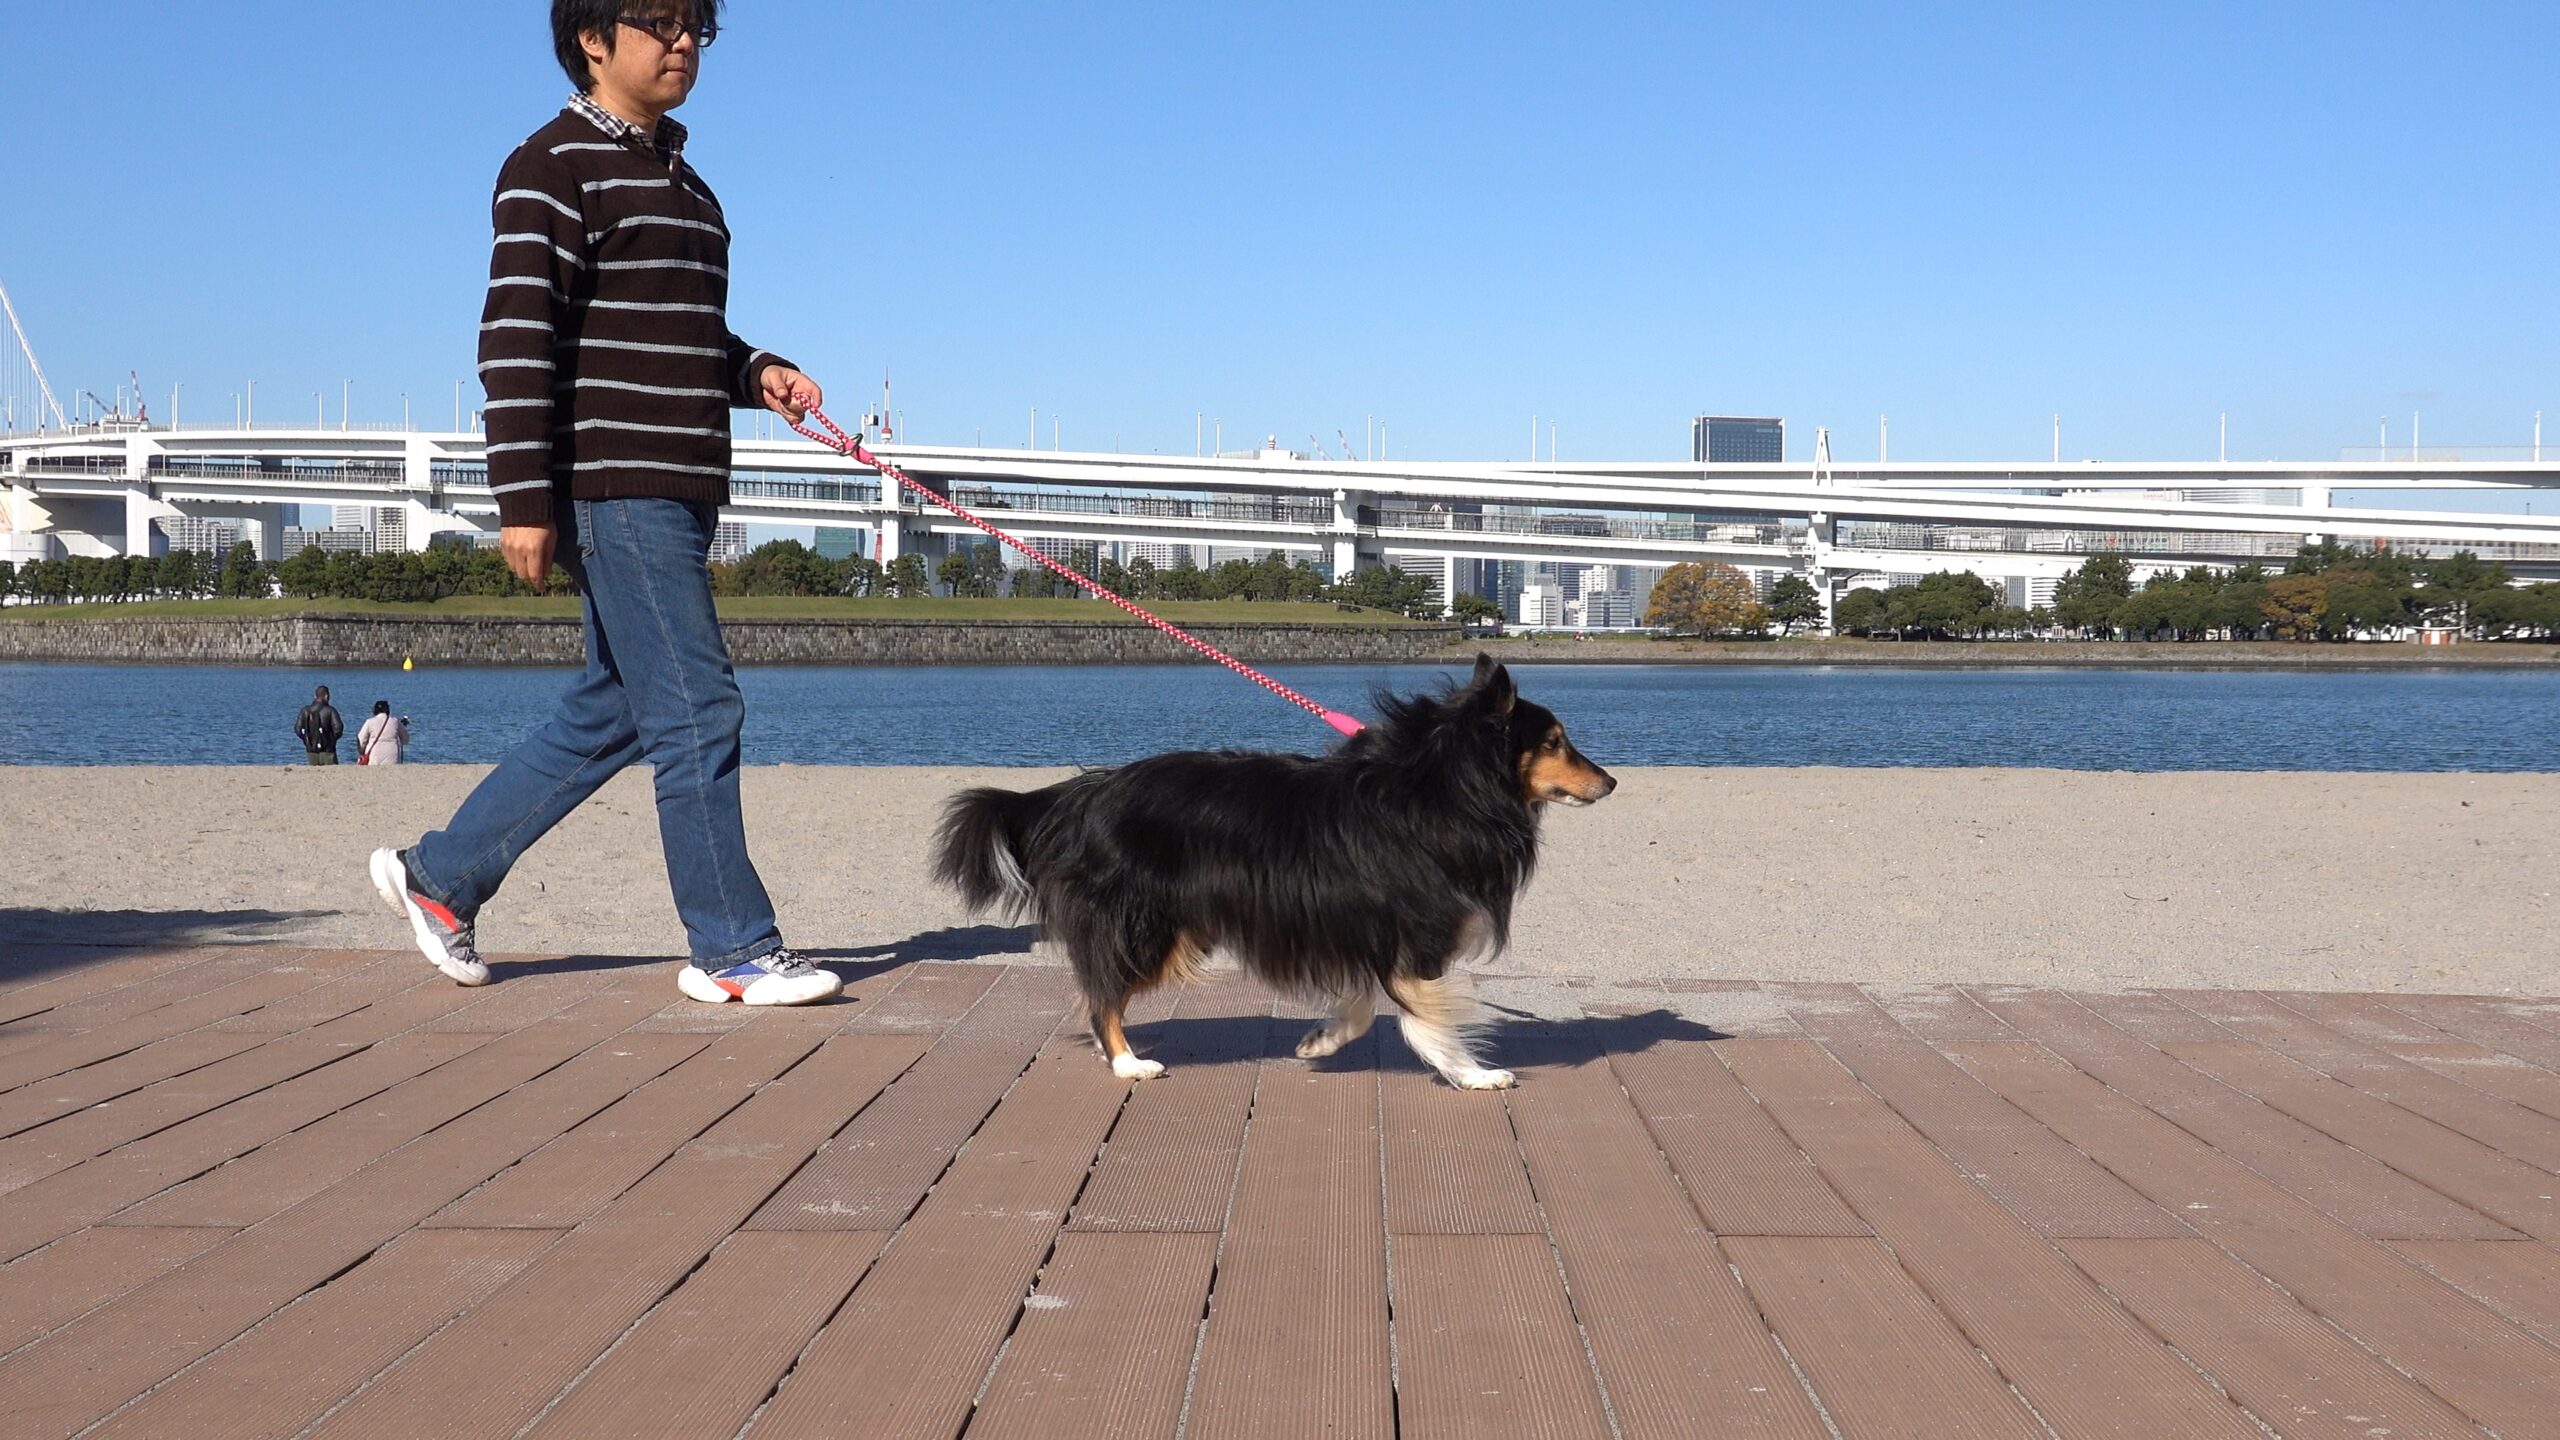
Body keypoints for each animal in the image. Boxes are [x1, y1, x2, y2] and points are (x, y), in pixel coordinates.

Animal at [931, 653, 1607, 1086]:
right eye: (1554, 742)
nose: (1612, 781)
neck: (1445, 787)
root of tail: (1082, 794)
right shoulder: (1414, 938)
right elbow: (1431, 1016)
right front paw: (1474, 1073)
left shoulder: (1357, 928)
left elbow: (1364, 1005)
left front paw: (1320, 1041)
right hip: (1149, 927)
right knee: (1102, 998)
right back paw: (1128, 1063)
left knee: (1099, 990)